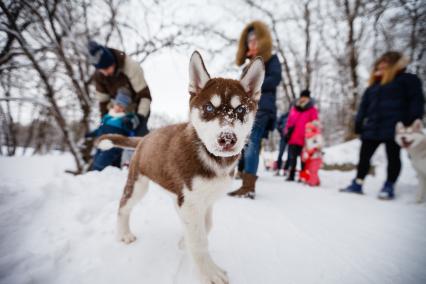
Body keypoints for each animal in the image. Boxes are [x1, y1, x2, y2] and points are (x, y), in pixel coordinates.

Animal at [97, 50, 262, 282]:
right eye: (209, 107)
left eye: (240, 109)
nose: (227, 139)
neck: (212, 158)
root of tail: (144, 138)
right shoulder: (191, 201)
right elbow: (199, 240)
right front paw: (209, 272)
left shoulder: (202, 200)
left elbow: (206, 225)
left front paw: (185, 241)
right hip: (138, 184)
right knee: (123, 206)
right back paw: (124, 234)